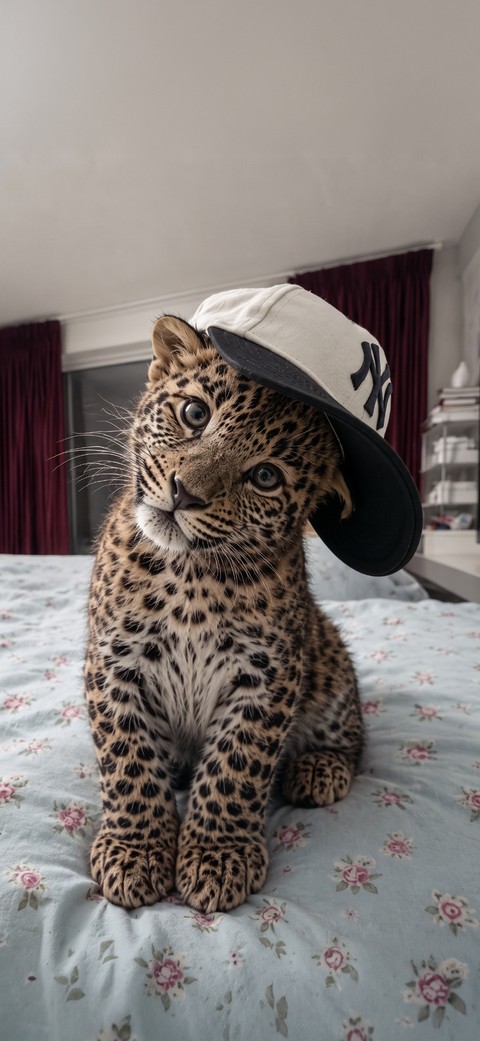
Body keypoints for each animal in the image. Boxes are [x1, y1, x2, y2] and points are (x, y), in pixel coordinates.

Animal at [85, 314, 364, 913]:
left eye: (266, 477)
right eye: (195, 414)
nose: (183, 493)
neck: (189, 574)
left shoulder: (268, 674)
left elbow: (237, 766)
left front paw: (218, 856)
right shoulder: (114, 660)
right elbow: (127, 758)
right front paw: (135, 850)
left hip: (325, 653)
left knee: (354, 735)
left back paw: (319, 768)